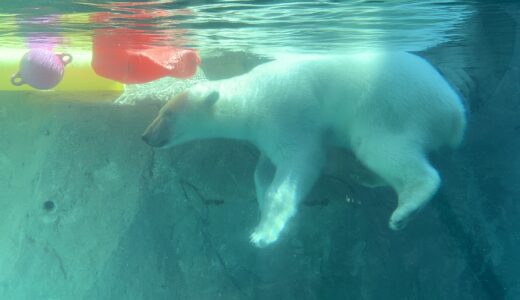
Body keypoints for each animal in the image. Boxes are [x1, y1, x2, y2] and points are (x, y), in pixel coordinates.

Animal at [140, 52, 466, 248]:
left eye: (167, 114)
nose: (145, 135)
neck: (251, 96)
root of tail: (455, 112)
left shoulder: (286, 114)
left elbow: (301, 163)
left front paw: (264, 233)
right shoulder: (265, 133)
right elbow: (263, 168)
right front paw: (261, 206)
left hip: (391, 108)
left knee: (383, 150)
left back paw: (405, 209)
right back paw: (366, 177)